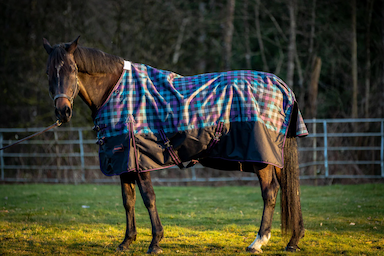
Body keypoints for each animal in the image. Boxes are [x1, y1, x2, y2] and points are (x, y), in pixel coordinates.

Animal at [42, 36, 306, 254]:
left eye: (73, 69)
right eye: (48, 73)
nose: (63, 111)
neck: (116, 92)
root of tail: (283, 87)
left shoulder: (140, 159)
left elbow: (148, 198)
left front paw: (155, 242)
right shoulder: (124, 161)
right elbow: (128, 200)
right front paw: (126, 241)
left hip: (262, 158)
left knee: (270, 192)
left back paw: (258, 241)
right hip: (273, 158)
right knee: (291, 190)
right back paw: (293, 240)